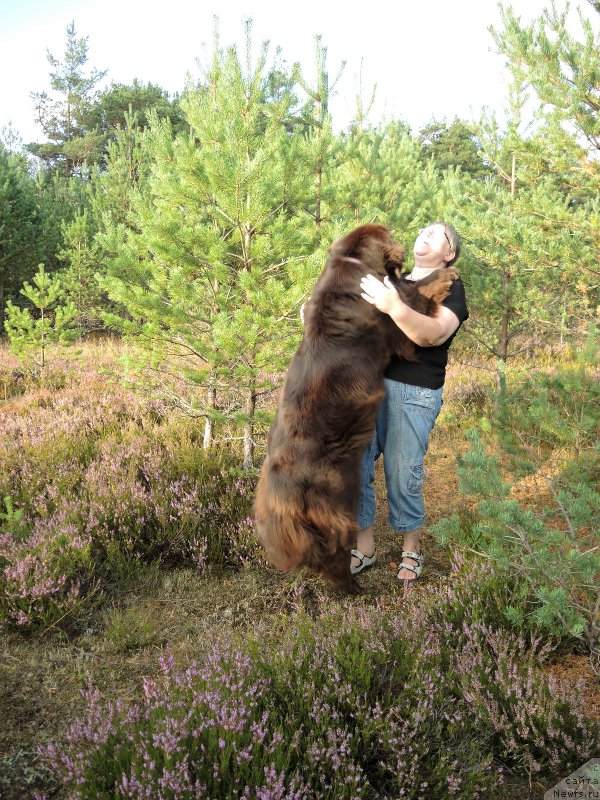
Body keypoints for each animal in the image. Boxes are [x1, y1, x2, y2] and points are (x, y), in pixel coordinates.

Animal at [252, 223, 454, 592]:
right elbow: (415, 292)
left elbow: (409, 288)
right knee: (332, 554)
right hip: (337, 504)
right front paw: (447, 273)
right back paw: (354, 587)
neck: (352, 261)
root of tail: (282, 498)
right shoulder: (398, 331)